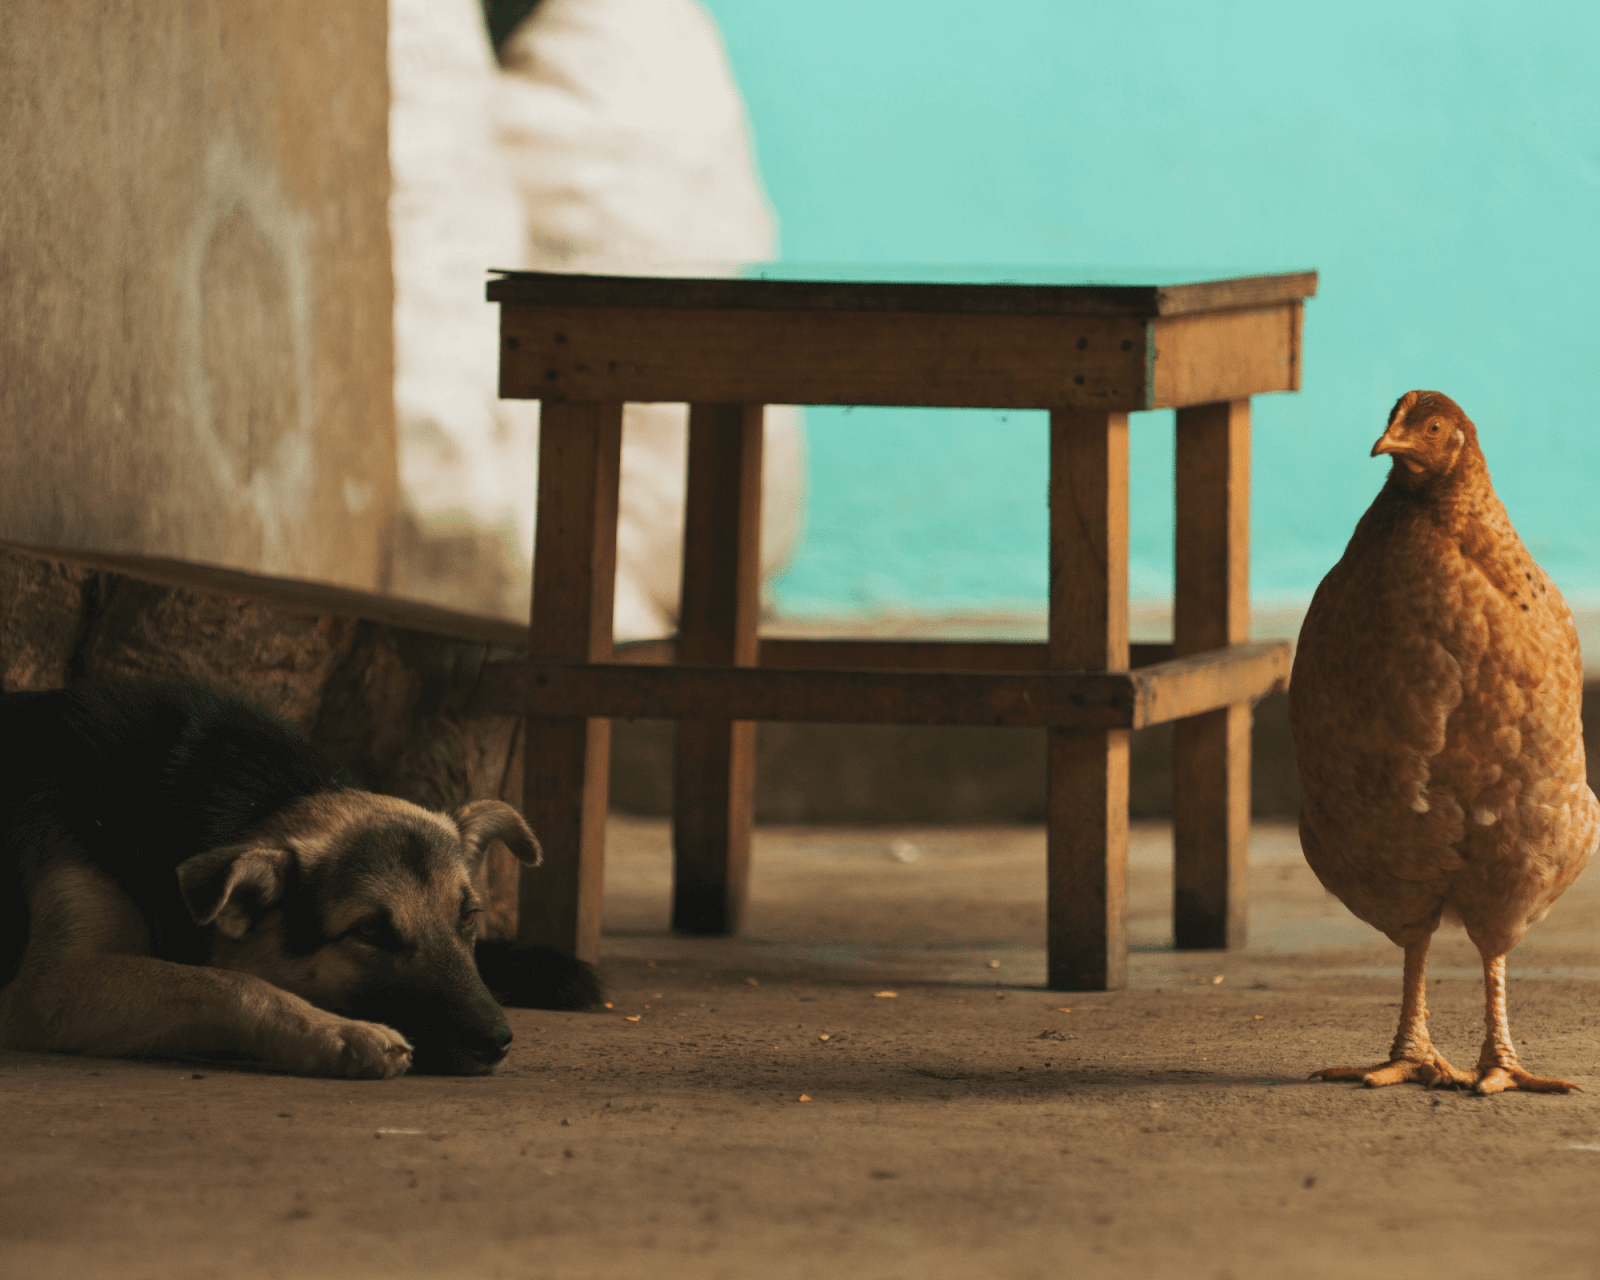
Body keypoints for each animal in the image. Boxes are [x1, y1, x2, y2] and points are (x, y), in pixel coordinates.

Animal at [0, 684, 601, 1075]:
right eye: (370, 933)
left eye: (468, 917)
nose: (497, 1042)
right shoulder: (54, 985)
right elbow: (224, 981)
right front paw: (337, 1031)